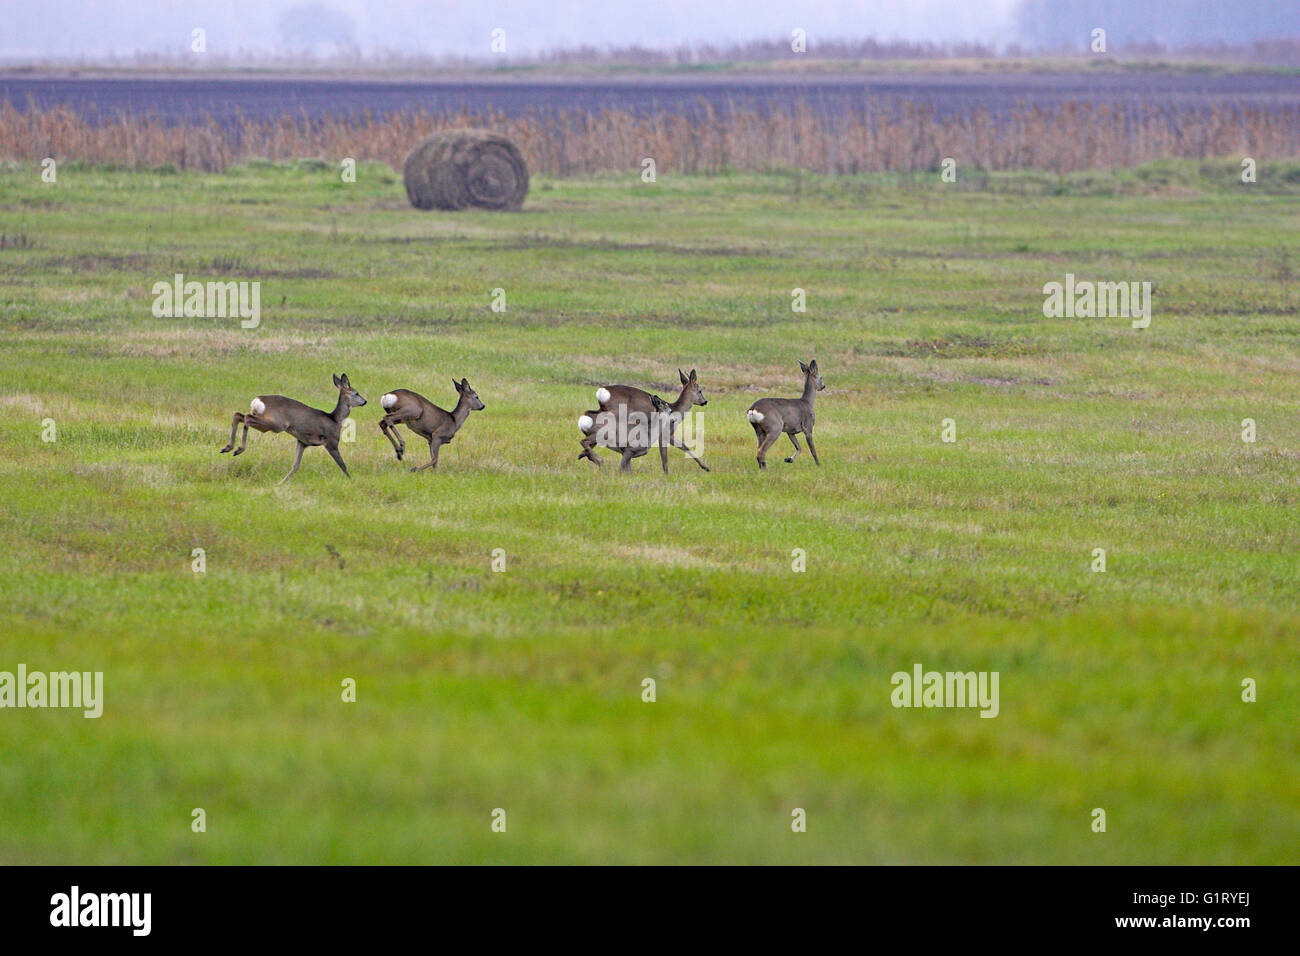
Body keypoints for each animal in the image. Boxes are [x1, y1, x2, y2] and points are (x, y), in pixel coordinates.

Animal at [219, 372, 367, 483]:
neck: (336, 420)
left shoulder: (302, 442)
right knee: (247, 418)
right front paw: (352, 481)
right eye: (356, 393)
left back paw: (227, 447)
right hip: (276, 423)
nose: (365, 401)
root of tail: (257, 400)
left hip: (266, 421)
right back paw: (239, 449)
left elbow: (295, 466)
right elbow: (343, 466)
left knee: (238, 415)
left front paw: (280, 483)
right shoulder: (331, 442)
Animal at [577, 368, 710, 473]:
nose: (705, 401)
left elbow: (684, 447)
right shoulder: (665, 434)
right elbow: (669, 456)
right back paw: (596, 458)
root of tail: (601, 392)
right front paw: (667, 474)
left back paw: (585, 455)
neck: (677, 410)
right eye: (700, 391)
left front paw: (705, 467)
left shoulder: (669, 434)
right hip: (615, 415)